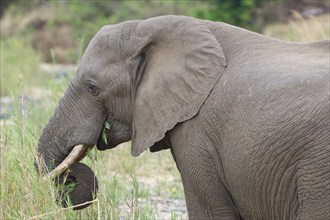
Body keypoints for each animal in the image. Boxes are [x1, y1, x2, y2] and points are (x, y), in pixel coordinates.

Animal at [34, 15, 330, 218]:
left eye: (92, 88)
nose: (70, 180)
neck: (151, 28)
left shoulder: (196, 133)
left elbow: (209, 210)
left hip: (317, 169)